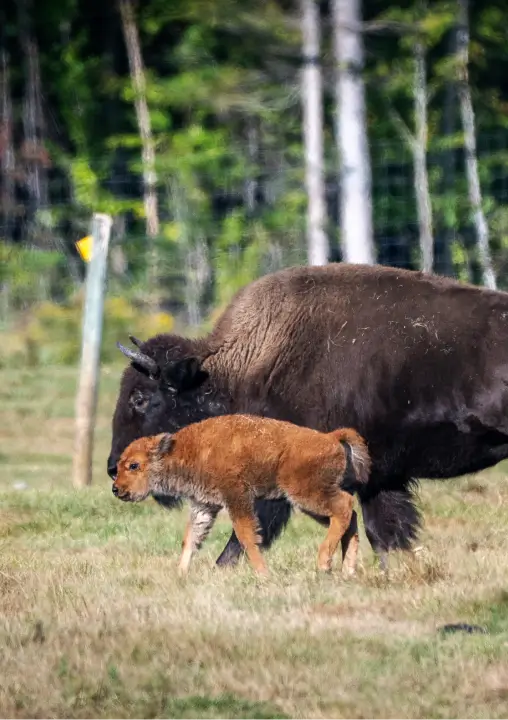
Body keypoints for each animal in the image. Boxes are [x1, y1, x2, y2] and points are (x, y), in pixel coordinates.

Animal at [112, 416, 370, 577]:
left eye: (134, 465)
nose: (116, 488)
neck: (187, 449)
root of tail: (330, 437)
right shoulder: (204, 504)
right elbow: (191, 538)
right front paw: (180, 573)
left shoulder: (237, 497)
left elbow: (246, 536)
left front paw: (263, 574)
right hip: (309, 501)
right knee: (349, 516)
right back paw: (347, 570)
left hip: (306, 494)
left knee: (345, 507)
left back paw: (324, 563)